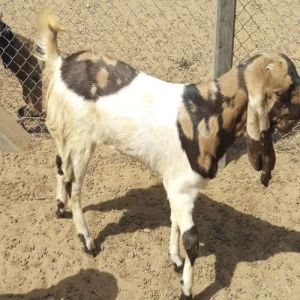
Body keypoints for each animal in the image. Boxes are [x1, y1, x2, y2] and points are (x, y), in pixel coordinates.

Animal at [35, 10, 300, 298]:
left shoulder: (179, 185)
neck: (207, 112)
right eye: (284, 91)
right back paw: (87, 241)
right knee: (75, 185)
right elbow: (191, 239)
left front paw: (175, 260)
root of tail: (60, 63)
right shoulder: (182, 186)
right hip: (82, 138)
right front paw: (186, 288)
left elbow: (174, 220)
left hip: (65, 132)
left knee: (61, 165)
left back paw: (59, 208)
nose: (294, 120)